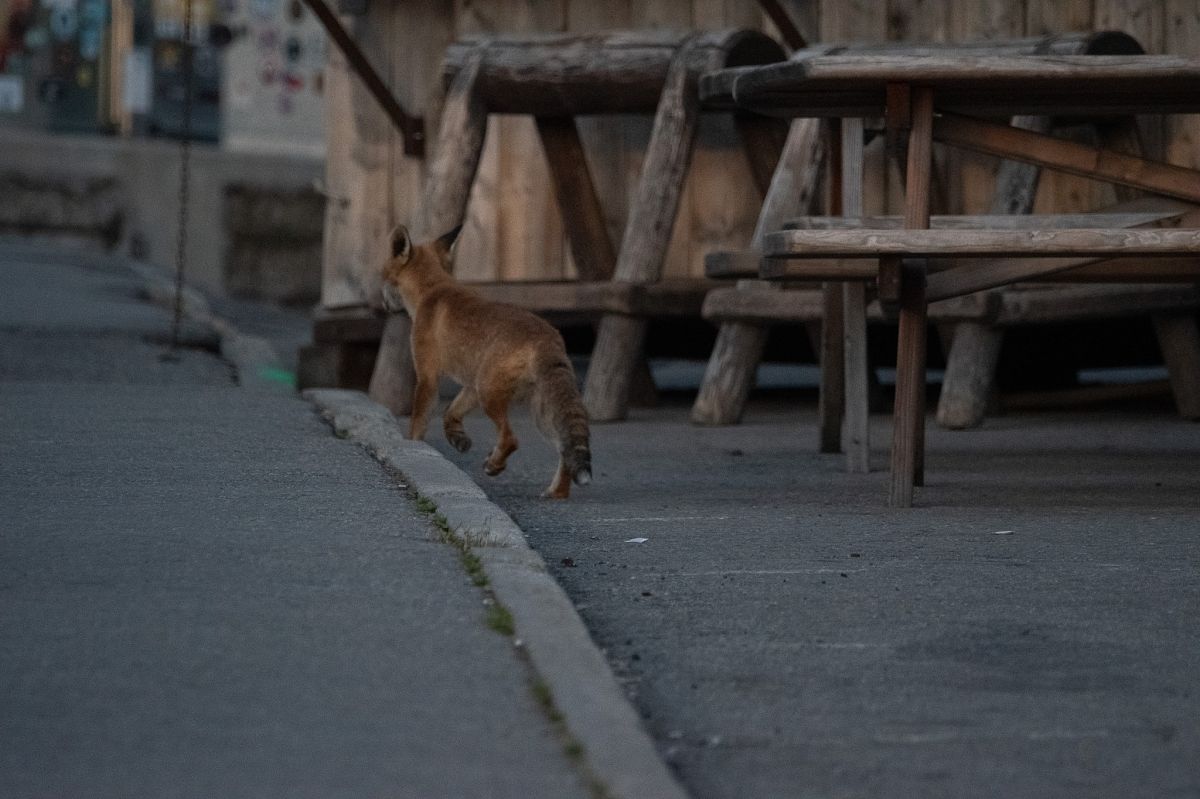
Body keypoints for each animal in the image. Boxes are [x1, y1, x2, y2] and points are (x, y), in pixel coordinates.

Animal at [380, 224, 592, 499]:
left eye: (382, 275)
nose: (382, 303)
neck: (432, 289)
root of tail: (547, 337)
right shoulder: (470, 384)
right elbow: (450, 413)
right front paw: (458, 439)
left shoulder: (428, 376)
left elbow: (418, 423)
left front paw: (415, 450)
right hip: (537, 412)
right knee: (564, 451)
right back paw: (557, 493)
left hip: (489, 394)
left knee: (511, 439)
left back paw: (495, 465)